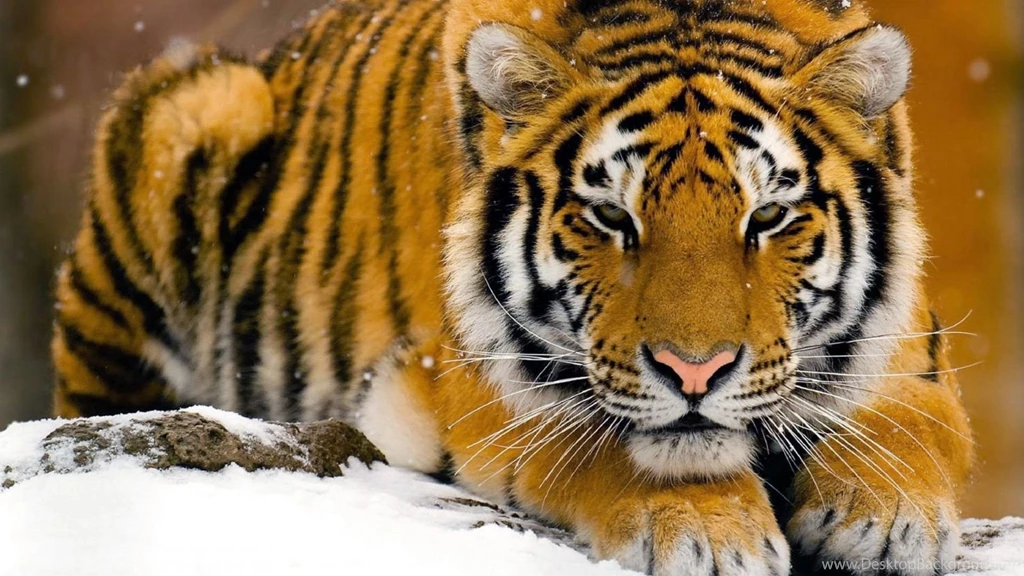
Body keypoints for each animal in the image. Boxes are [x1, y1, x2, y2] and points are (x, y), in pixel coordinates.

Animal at [51, 0, 975, 573]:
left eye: (768, 217)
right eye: (612, 217)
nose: (696, 373)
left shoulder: (908, 345)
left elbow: (910, 424)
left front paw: (884, 516)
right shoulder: (474, 378)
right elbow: (607, 442)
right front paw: (712, 534)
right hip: (195, 106)